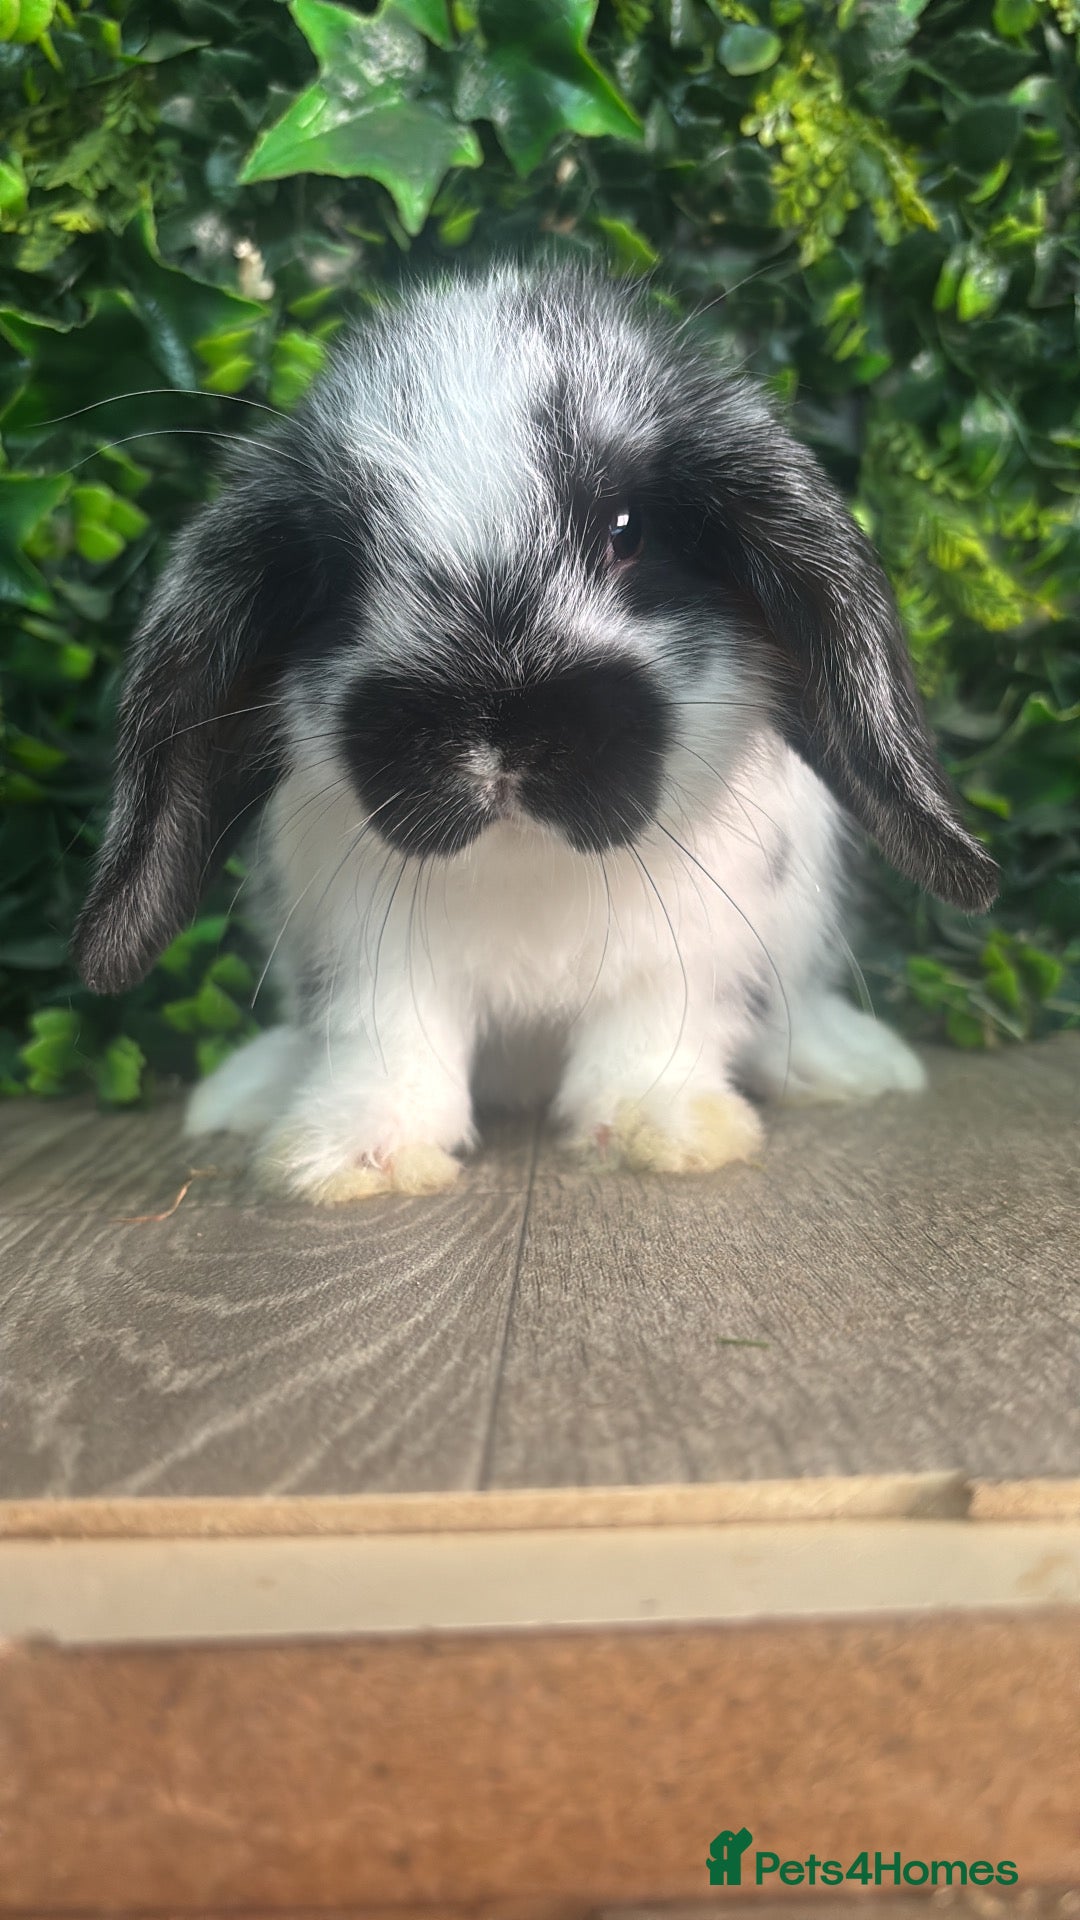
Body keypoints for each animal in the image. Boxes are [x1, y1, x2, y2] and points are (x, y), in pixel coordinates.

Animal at [72, 264, 997, 1203]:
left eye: (627, 530)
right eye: (341, 572)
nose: (499, 733)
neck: (524, 856)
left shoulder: (692, 950)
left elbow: (653, 1032)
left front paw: (661, 1131)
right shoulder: (370, 955)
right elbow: (387, 1043)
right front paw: (357, 1154)